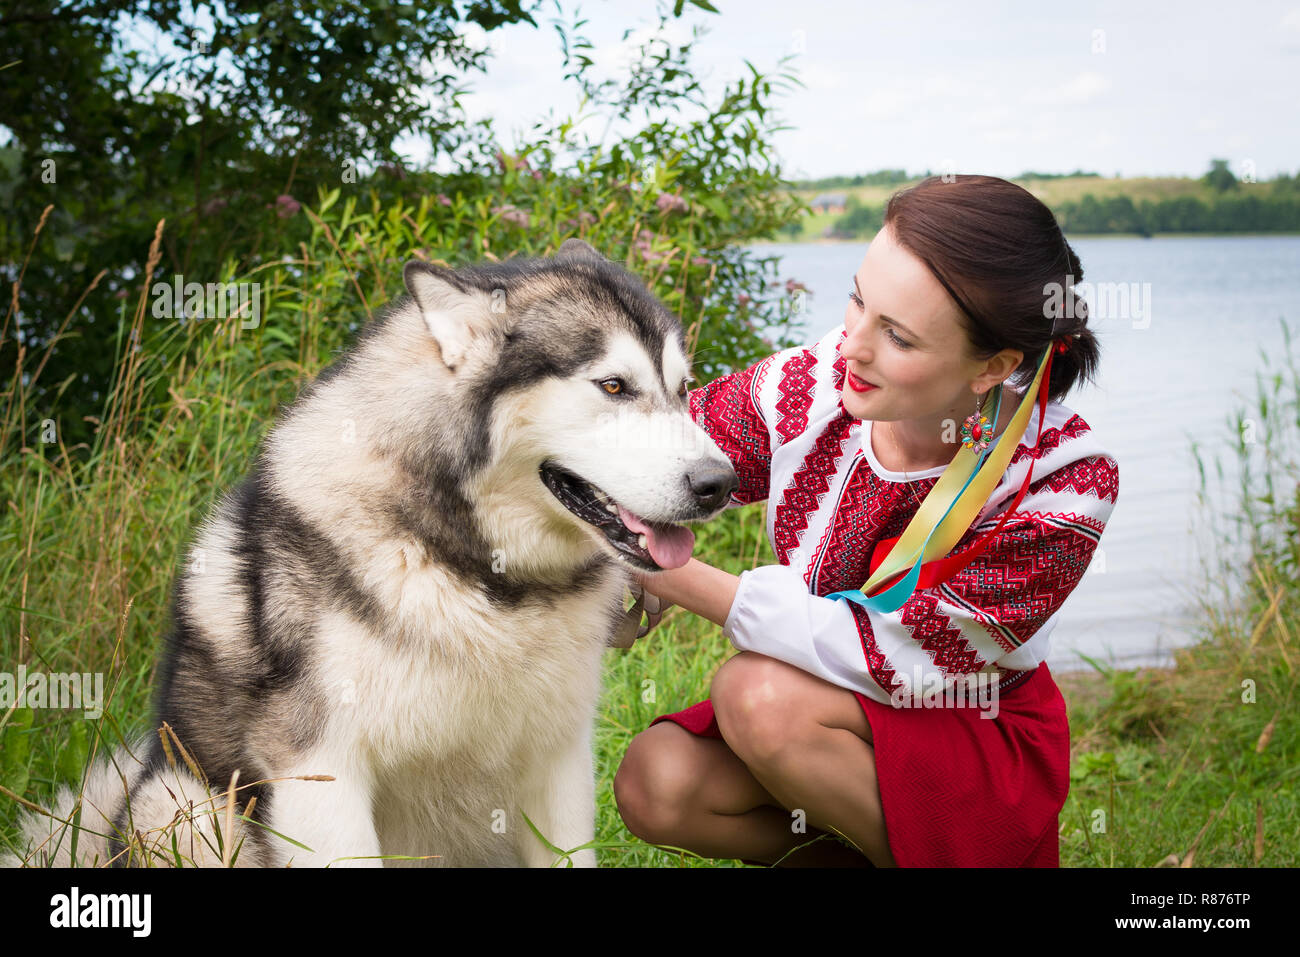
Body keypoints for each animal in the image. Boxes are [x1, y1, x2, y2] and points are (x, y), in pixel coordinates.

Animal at [7, 239, 743, 868]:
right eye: (613, 386)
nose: (720, 483)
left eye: (683, 389)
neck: (478, 575)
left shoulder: (558, 765)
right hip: (183, 805)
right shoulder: (321, 774)